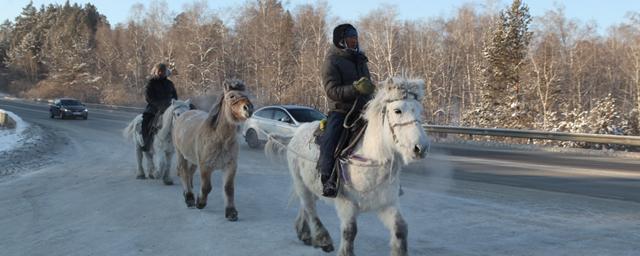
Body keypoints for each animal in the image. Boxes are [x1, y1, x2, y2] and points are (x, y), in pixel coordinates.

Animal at [175, 81, 255, 221]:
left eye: (246, 95)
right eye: (231, 96)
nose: (248, 108)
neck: (219, 138)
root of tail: (184, 115)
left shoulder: (230, 166)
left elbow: (228, 188)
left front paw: (231, 212)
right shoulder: (205, 166)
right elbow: (207, 187)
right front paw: (200, 202)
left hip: (193, 160)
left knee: (189, 173)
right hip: (181, 155)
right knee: (183, 172)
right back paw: (189, 198)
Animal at [266, 77, 430, 255]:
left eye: (419, 110)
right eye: (397, 110)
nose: (421, 148)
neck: (370, 159)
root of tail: (297, 132)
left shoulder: (386, 203)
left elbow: (400, 229)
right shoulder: (346, 204)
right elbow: (350, 232)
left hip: (313, 185)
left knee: (306, 206)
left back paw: (304, 233)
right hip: (300, 182)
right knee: (310, 208)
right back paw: (322, 238)